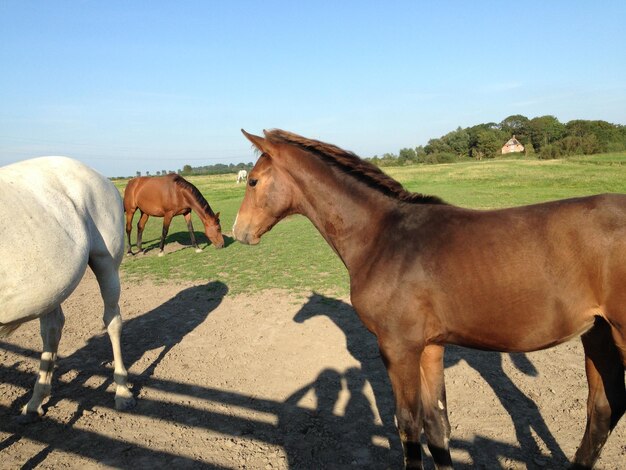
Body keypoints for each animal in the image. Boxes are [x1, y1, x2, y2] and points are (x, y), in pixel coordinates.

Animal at [0, 158, 136, 418]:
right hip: (50, 291)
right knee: (52, 331)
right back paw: (36, 401)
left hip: (106, 264)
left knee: (112, 321)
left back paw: (122, 391)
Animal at [234, 129, 624, 470]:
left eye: (253, 181)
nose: (239, 232)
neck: (382, 237)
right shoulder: (431, 347)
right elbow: (437, 424)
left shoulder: (398, 348)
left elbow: (408, 424)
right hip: (598, 335)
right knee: (602, 411)